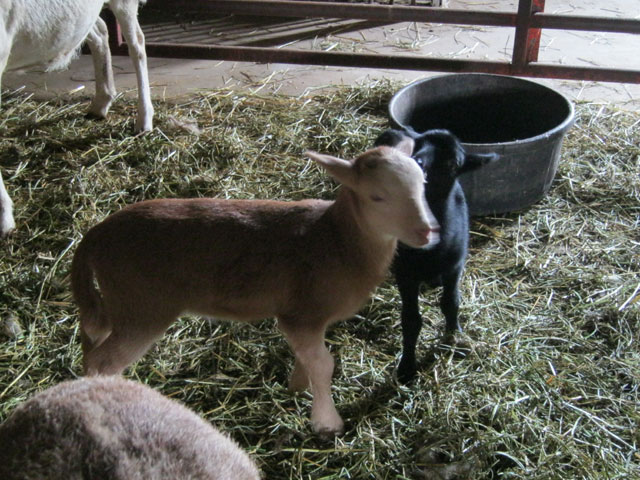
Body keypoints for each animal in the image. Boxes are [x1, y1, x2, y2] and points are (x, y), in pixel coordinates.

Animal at [0, 0, 154, 237]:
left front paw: (4, 217)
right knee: (99, 29)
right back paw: (101, 103)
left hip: (124, 3)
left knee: (137, 43)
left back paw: (144, 120)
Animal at [71, 145, 440, 436]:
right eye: (377, 196)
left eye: (423, 185)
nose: (427, 232)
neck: (339, 241)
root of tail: (95, 234)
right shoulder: (302, 313)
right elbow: (324, 364)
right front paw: (327, 423)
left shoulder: (303, 317)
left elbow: (308, 358)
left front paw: (296, 386)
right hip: (143, 306)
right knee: (104, 360)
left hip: (117, 302)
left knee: (91, 342)